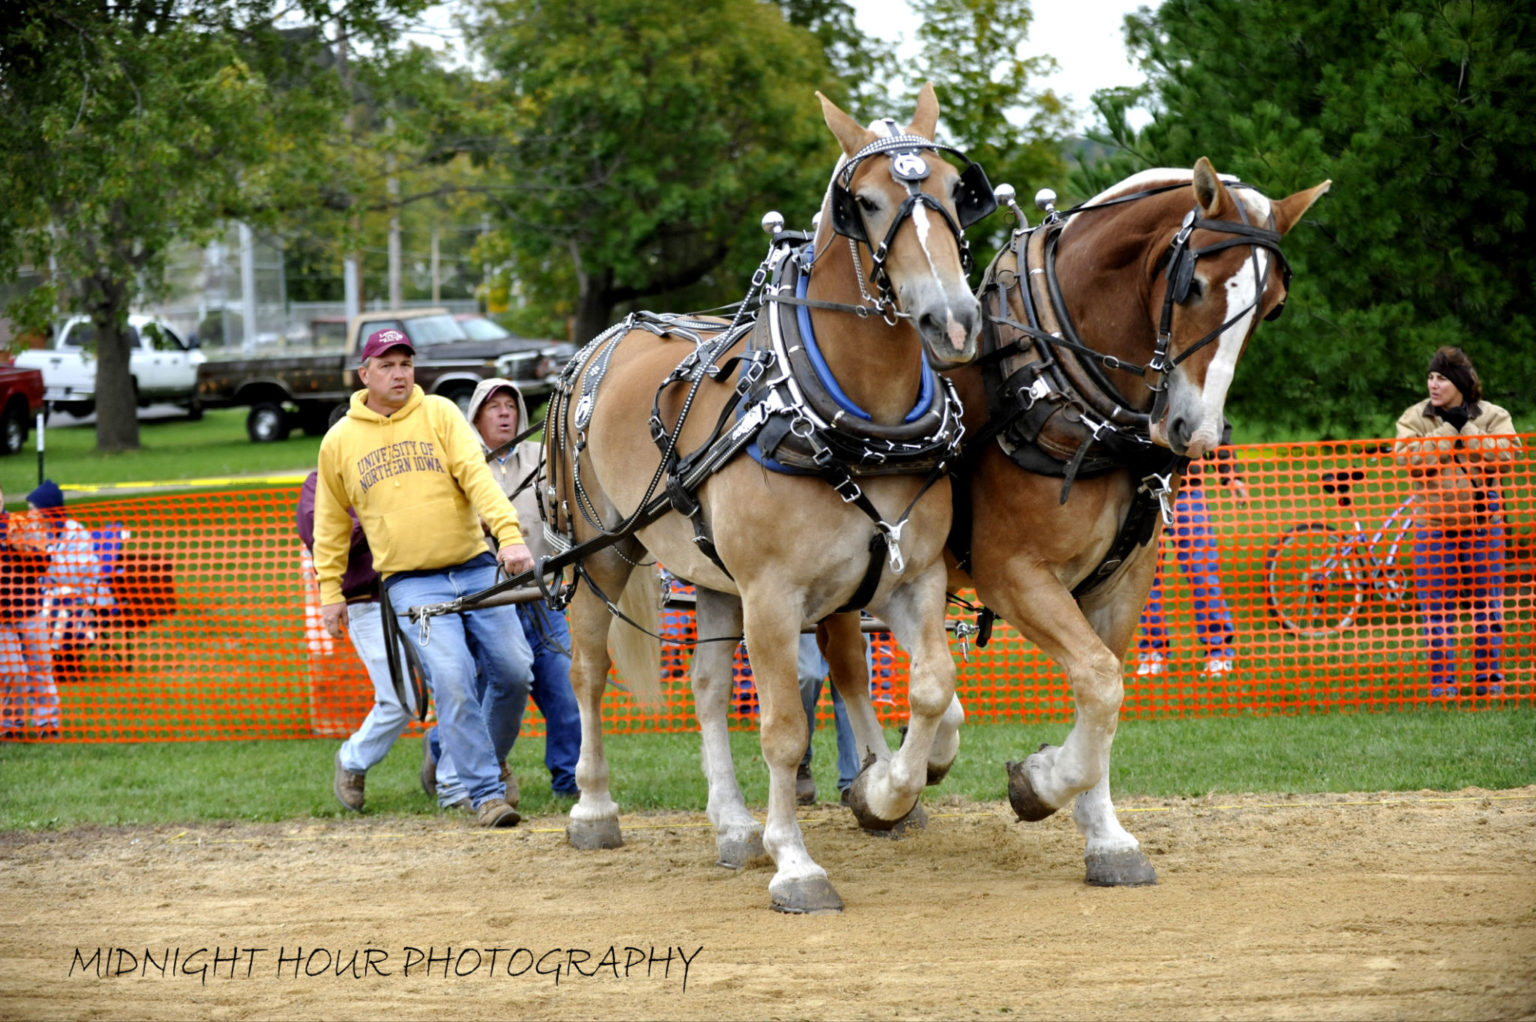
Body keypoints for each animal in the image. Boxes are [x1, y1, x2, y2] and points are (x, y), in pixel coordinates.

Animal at [540, 84, 995, 913]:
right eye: (867, 202)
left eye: (956, 193)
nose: (953, 319)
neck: (848, 421)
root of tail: (597, 345)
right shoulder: (775, 597)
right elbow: (784, 730)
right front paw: (798, 863)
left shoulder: (910, 578)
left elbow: (932, 690)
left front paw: (888, 790)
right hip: (605, 553)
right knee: (588, 672)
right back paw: (594, 808)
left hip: (714, 576)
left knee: (708, 688)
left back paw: (731, 825)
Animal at [817, 157, 1331, 885]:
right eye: (1194, 284)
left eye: (1273, 305)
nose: (1197, 432)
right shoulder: (1013, 574)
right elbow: (1098, 680)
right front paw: (1041, 784)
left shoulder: (1122, 582)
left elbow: (1103, 690)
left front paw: (1102, 832)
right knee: (848, 667)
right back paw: (877, 784)